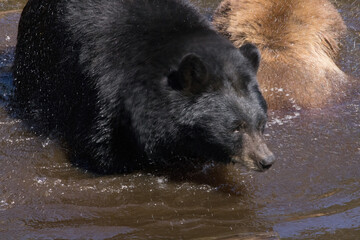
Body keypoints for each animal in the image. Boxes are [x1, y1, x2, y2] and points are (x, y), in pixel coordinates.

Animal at [12, 0, 274, 172]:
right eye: (235, 128)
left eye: (261, 124)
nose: (266, 160)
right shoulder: (104, 91)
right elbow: (99, 147)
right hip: (38, 61)